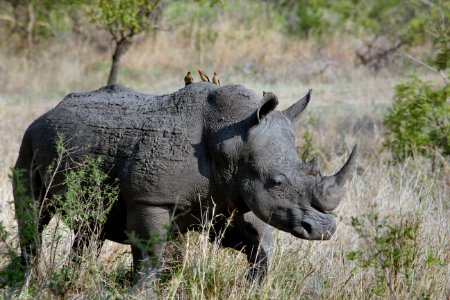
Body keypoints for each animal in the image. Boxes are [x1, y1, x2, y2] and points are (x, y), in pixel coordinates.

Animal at [14, 81, 356, 278]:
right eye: (277, 181)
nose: (323, 230)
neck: (232, 140)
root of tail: (48, 111)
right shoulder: (150, 200)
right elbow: (150, 257)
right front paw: (142, 291)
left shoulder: (222, 200)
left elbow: (257, 245)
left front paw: (252, 284)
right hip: (29, 139)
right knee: (34, 214)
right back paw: (28, 282)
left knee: (90, 227)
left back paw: (69, 280)